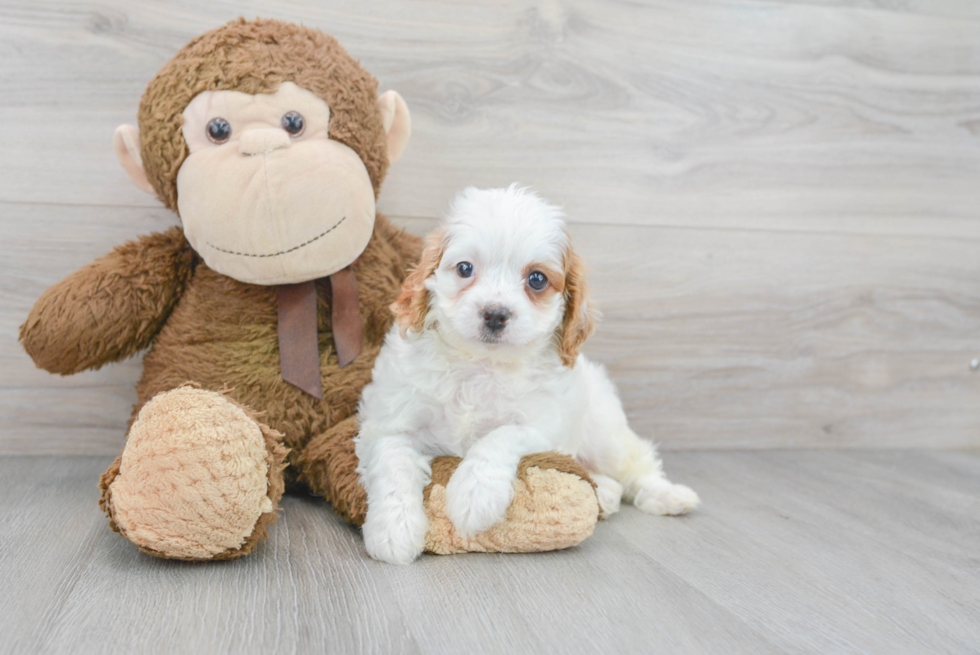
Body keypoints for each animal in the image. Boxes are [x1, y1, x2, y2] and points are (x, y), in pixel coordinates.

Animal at [356, 184, 700, 564]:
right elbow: (393, 461)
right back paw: (607, 497)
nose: (495, 314)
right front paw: (393, 529)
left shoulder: (545, 425)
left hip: (605, 431)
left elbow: (502, 435)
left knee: (636, 466)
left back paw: (667, 495)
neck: (480, 364)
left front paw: (474, 494)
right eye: (464, 268)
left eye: (537, 279)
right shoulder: (390, 421)